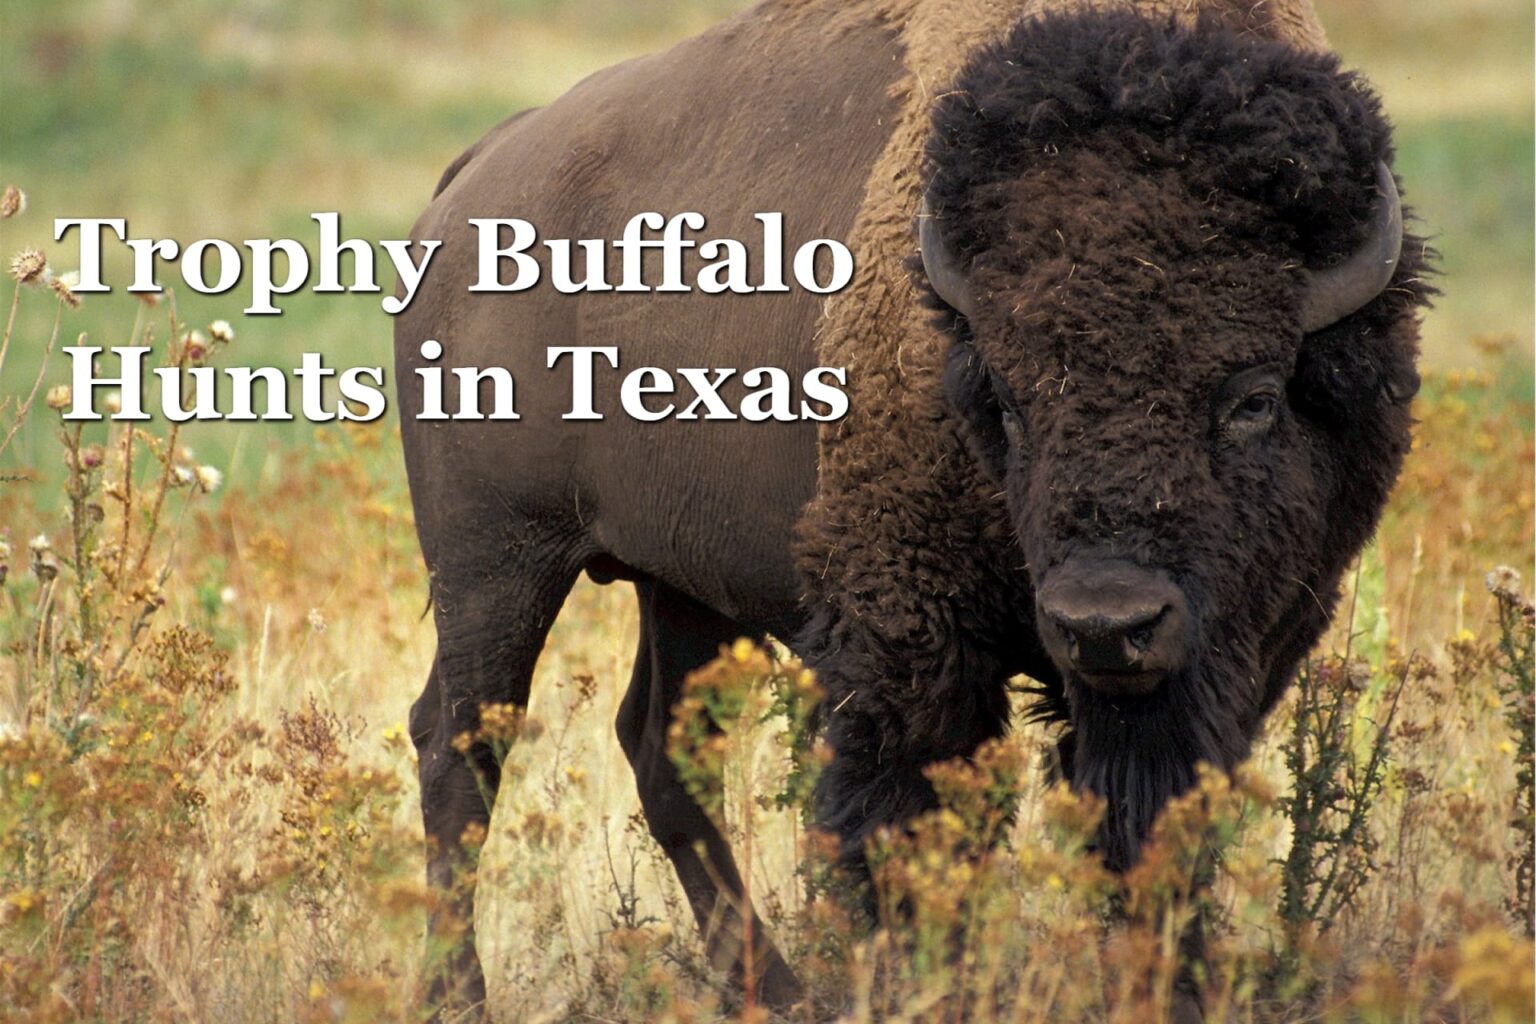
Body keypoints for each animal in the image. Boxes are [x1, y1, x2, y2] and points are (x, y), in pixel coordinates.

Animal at [396, 0, 1430, 1017]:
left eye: (1253, 397)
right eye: (1006, 400)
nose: (1106, 623)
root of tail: (477, 173)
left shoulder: (1237, 654)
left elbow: (1156, 828)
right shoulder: (908, 639)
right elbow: (910, 829)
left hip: (677, 586)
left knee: (660, 750)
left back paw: (775, 991)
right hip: (499, 561)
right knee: (459, 747)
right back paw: (459, 996)